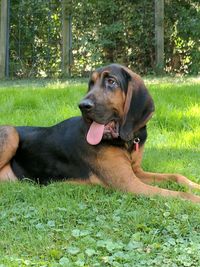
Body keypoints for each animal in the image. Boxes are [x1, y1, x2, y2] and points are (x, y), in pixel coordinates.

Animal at [0, 64, 200, 203]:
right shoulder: (130, 184)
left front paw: (195, 186)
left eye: (111, 81)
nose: (83, 106)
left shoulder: (136, 172)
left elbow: (176, 176)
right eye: (91, 84)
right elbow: (180, 195)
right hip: (10, 131)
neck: (124, 141)